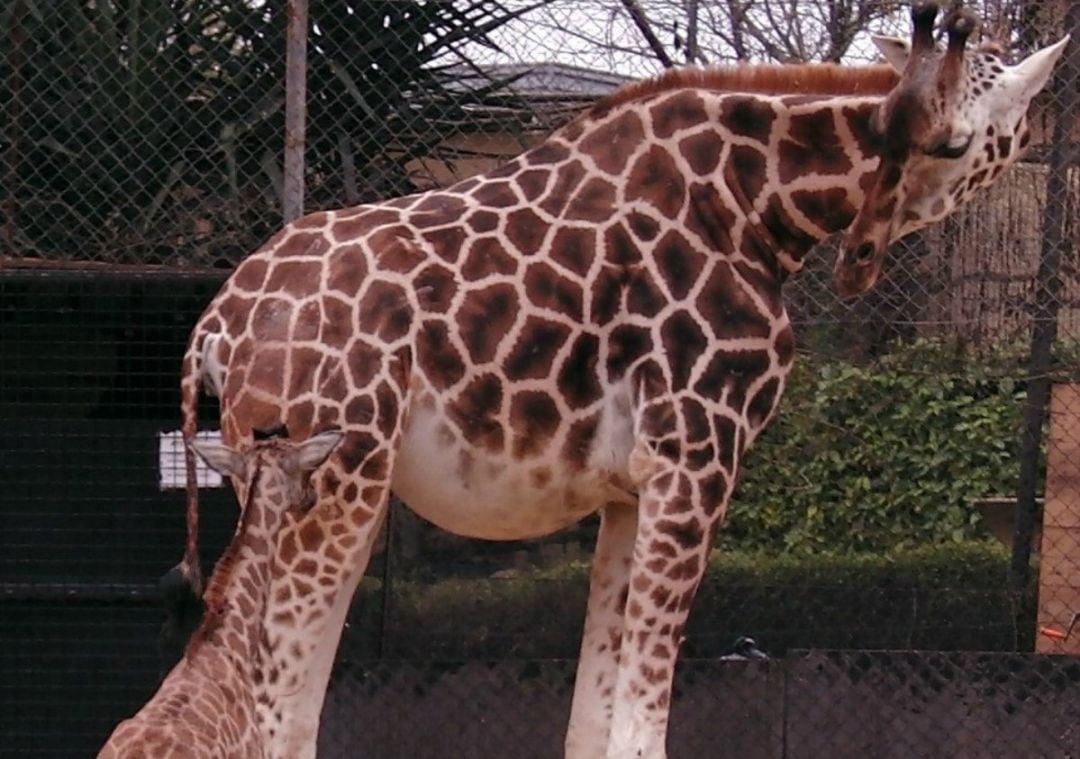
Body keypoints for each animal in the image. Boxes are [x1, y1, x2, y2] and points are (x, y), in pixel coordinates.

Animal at [174, 2, 1062, 755]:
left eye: (955, 140)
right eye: (902, 132)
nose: (862, 259)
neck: (755, 206)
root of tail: (217, 323)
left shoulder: (632, 487)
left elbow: (596, 709)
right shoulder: (697, 457)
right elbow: (643, 715)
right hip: (334, 480)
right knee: (273, 705)